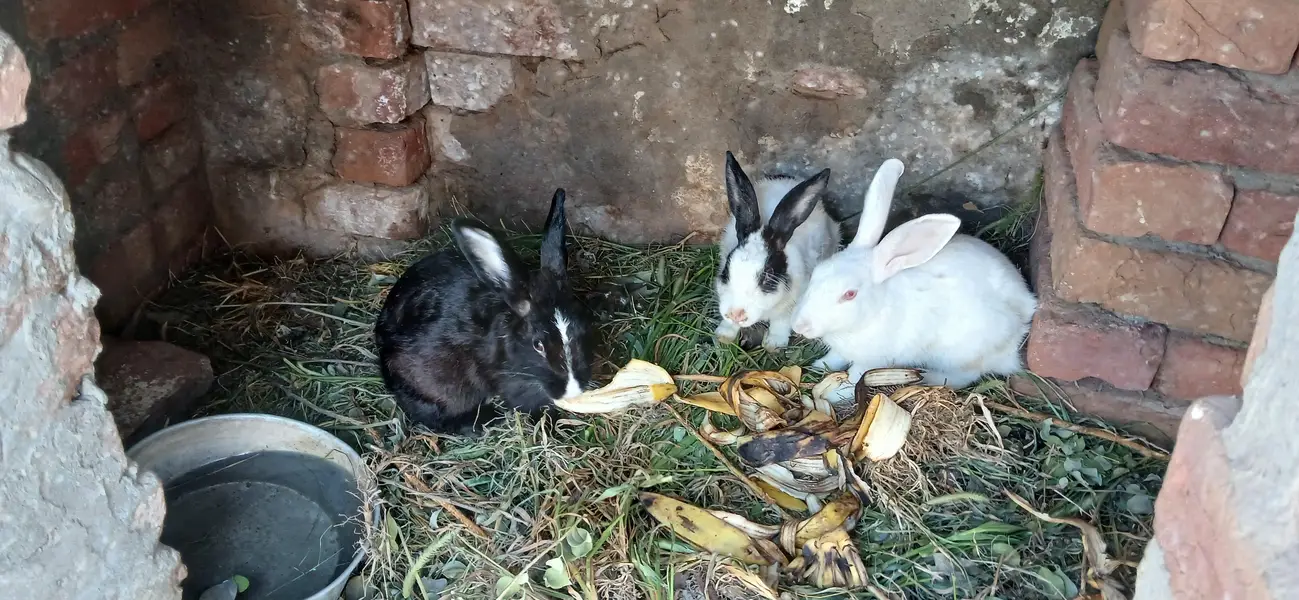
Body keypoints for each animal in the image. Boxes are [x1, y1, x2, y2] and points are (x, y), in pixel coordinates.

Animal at [714, 151, 838, 351]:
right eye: (726, 271)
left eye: (767, 278)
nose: (736, 314)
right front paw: (724, 335)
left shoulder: (792, 303)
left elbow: (781, 321)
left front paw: (774, 344)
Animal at [790, 158, 1037, 389]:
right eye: (816, 274)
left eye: (850, 294)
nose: (799, 326)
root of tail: (1026, 312)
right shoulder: (841, 350)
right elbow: (834, 357)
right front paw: (818, 365)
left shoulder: (873, 360)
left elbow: (856, 376)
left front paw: (838, 392)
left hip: (961, 353)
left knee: (965, 376)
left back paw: (928, 377)